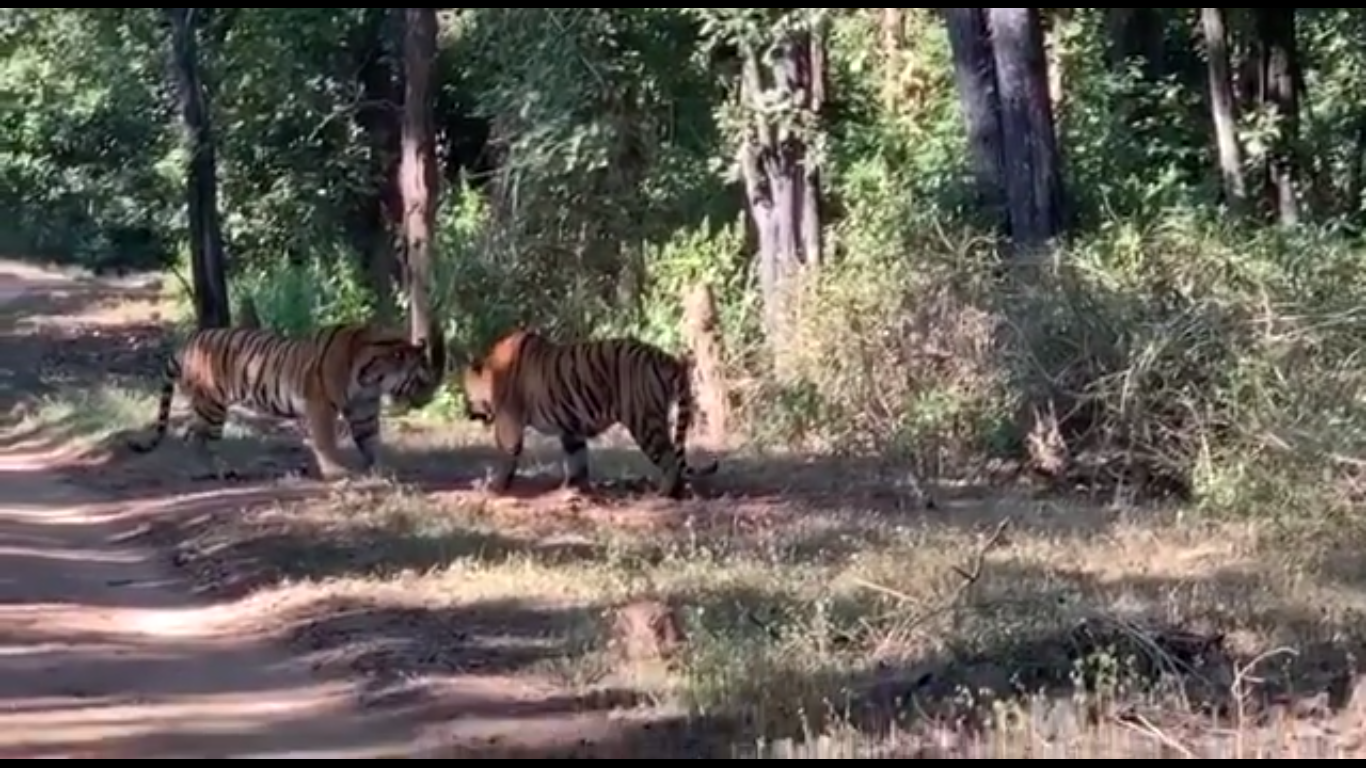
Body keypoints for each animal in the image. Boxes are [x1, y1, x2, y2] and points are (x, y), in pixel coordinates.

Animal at [127, 317, 446, 480]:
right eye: (421, 379)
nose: (428, 399)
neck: (373, 377)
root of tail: (188, 343)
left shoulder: (364, 409)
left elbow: (371, 441)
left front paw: (381, 467)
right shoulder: (321, 405)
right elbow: (326, 441)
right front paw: (336, 471)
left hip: (206, 406)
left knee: (190, 434)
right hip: (212, 404)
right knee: (198, 438)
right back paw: (215, 471)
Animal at [461, 328, 719, 499]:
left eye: (466, 393)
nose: (467, 412)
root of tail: (668, 359)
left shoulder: (509, 423)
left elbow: (506, 455)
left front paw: (494, 487)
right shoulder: (571, 426)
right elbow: (576, 459)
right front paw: (574, 489)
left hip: (644, 422)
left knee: (669, 459)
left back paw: (662, 494)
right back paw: (676, 492)